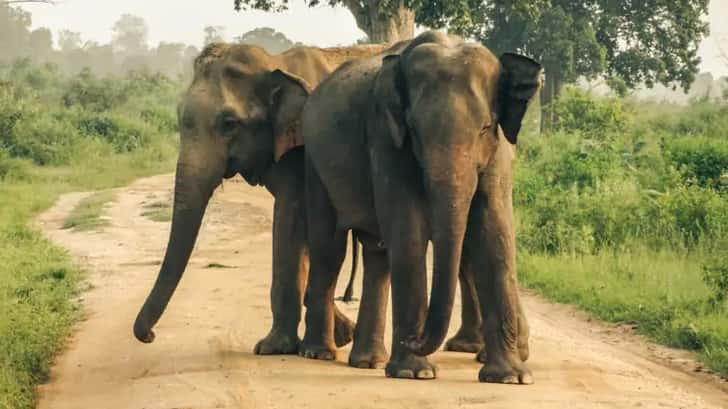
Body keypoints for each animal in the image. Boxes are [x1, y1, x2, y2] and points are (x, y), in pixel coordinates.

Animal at [134, 40, 390, 354]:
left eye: (229, 123)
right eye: (181, 116)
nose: (149, 336)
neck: (274, 64)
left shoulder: (302, 149)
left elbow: (289, 218)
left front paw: (272, 348)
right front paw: (337, 335)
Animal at [276, 32, 544, 382]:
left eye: (486, 127)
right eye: (414, 129)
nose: (413, 339)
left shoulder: (499, 151)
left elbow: (493, 233)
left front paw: (511, 377)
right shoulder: (385, 136)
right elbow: (409, 230)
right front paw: (414, 373)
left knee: (376, 255)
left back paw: (368, 361)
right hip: (315, 163)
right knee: (329, 249)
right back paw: (319, 353)